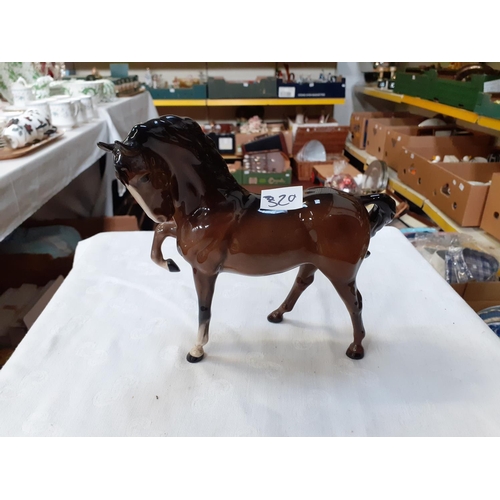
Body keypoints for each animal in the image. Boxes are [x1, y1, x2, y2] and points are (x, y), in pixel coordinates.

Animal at [96, 114, 394, 364]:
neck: (209, 205)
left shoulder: (204, 270)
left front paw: (197, 350)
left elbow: (204, 309)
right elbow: (160, 234)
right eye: (123, 180)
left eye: (144, 175)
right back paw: (276, 315)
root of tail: (358, 201)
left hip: (341, 273)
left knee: (355, 303)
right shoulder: (181, 233)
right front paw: (169, 264)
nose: (158, 212)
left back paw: (355, 349)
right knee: (303, 283)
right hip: (313, 262)